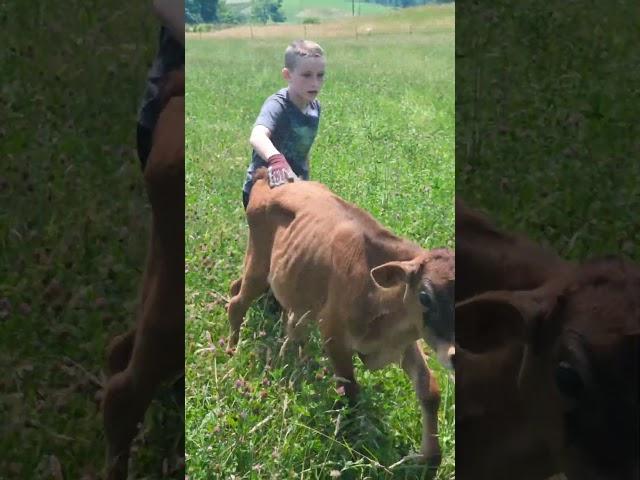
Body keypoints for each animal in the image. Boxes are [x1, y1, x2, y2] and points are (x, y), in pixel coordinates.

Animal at [229, 172, 456, 468]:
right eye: (425, 297)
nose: (455, 355)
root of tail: (266, 181)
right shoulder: (334, 337)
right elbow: (350, 392)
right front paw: (353, 441)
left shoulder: (405, 341)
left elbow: (429, 391)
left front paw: (430, 457)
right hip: (258, 266)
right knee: (236, 304)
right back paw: (231, 352)